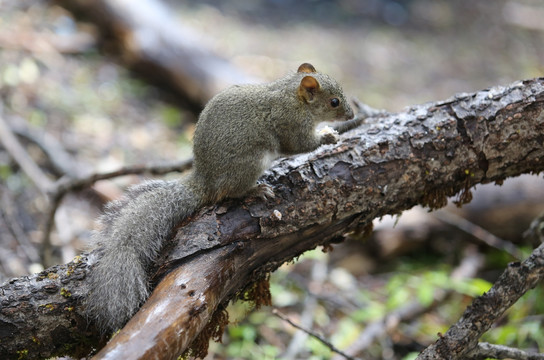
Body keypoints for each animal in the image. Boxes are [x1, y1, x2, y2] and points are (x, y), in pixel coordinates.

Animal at [84, 62, 354, 334]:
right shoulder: (290, 123)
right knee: (233, 191)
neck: (292, 97)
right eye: (334, 101)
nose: (351, 115)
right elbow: (299, 146)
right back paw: (255, 190)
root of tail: (206, 182)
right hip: (250, 163)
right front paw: (329, 137)